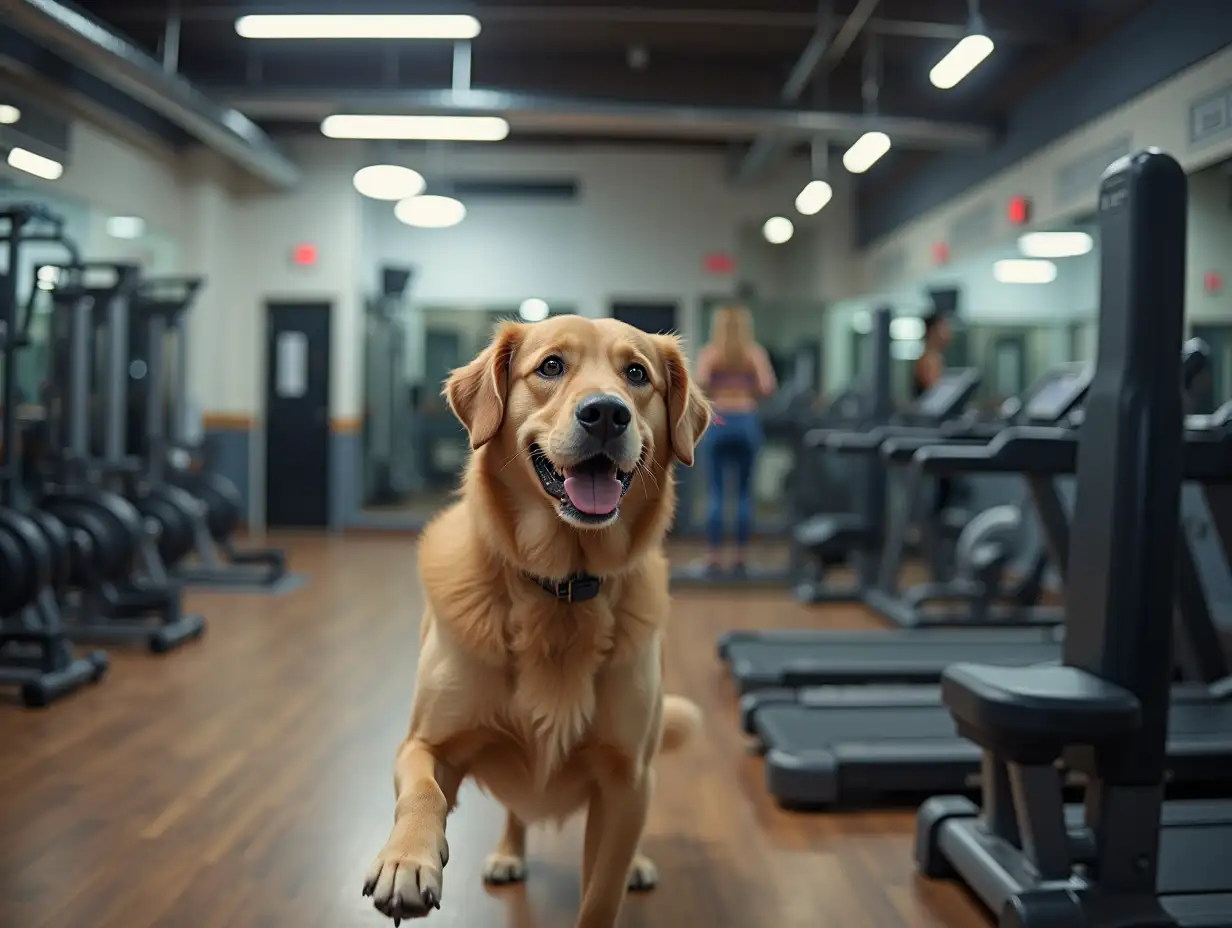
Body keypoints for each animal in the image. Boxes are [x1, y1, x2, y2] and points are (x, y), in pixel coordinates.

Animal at [362, 313, 714, 926]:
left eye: (636, 374)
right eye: (551, 366)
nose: (607, 413)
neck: (562, 589)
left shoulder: (626, 783)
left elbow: (601, 896)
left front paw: (620, 879)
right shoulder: (425, 743)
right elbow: (424, 790)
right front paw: (406, 860)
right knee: (517, 809)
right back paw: (507, 852)